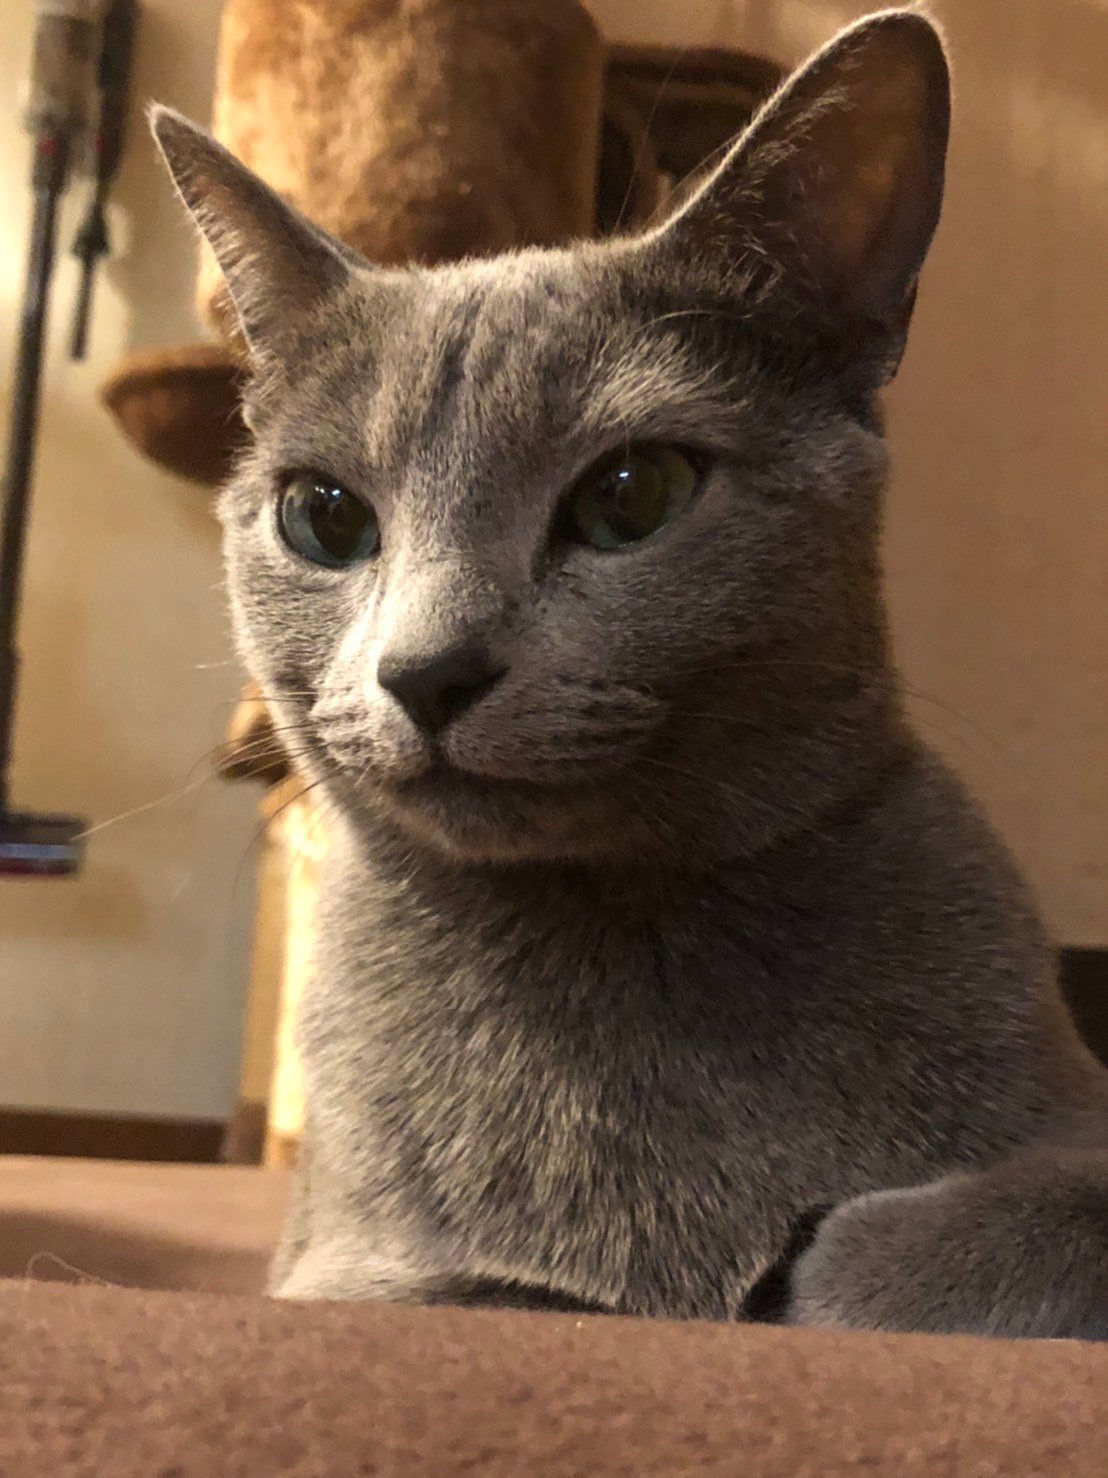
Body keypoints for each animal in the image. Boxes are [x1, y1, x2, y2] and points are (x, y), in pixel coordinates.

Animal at [154, 9, 1108, 1338]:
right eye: (324, 516)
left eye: (630, 494)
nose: (428, 670)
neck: (606, 933)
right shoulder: (338, 1270)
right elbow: (520, 1298)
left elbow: (1060, 1200)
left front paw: (826, 1255)